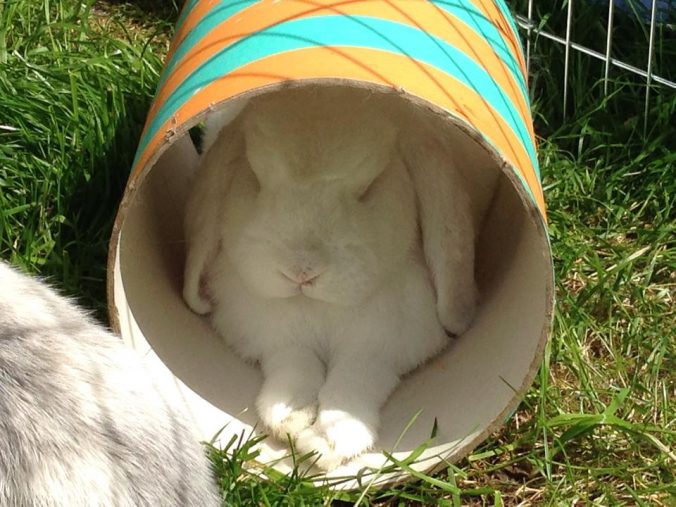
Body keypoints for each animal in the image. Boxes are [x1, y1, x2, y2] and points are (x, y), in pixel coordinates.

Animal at [183, 86, 479, 470]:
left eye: (370, 187)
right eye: (256, 179)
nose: (301, 271)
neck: (318, 307)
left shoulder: (380, 349)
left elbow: (351, 385)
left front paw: (326, 444)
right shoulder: (279, 340)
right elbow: (295, 367)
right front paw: (289, 418)